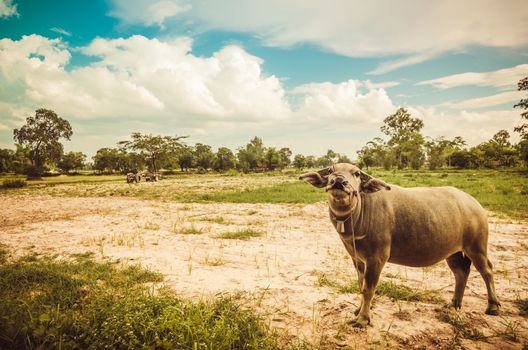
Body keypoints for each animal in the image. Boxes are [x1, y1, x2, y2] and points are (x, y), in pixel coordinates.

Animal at [302, 164, 500, 328]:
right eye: (331, 170)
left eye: (356, 173)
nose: (339, 182)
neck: (358, 216)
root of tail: (474, 203)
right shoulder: (357, 259)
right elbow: (360, 285)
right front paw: (359, 311)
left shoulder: (377, 259)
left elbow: (368, 289)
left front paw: (363, 319)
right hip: (453, 251)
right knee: (461, 271)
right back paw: (454, 303)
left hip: (476, 246)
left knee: (487, 270)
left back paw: (493, 306)